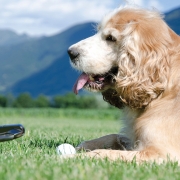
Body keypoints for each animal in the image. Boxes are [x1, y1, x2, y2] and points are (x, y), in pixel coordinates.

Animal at [67, 5, 180, 163]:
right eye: (98, 31)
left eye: (110, 38)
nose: (70, 52)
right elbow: (115, 136)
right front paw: (83, 145)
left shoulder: (163, 153)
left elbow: (104, 153)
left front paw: (70, 156)